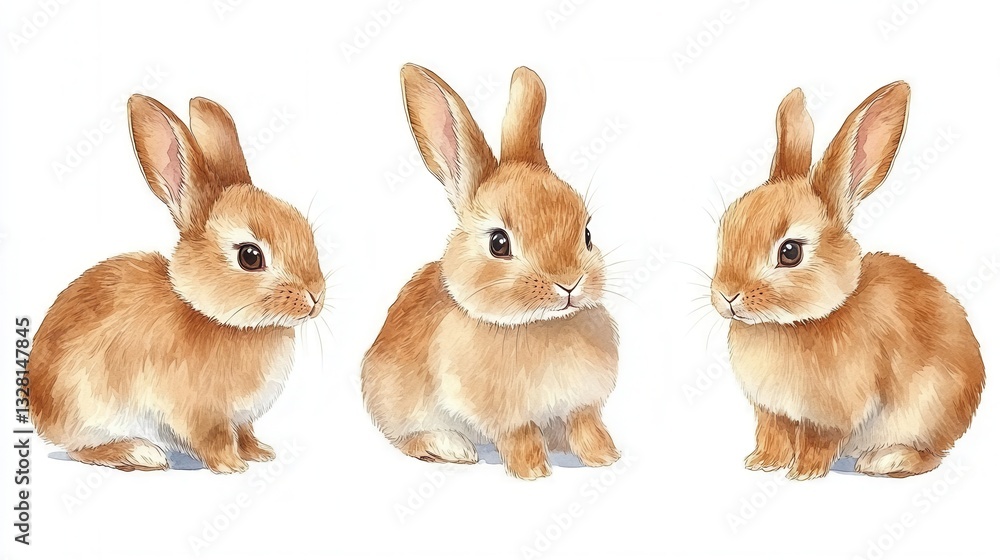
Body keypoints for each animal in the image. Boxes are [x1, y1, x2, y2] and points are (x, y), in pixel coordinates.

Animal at [29, 95, 326, 473]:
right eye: (250, 256)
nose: (315, 297)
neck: (221, 320)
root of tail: (37, 409)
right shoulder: (201, 414)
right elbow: (214, 439)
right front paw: (232, 466)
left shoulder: (241, 418)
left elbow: (245, 433)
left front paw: (260, 453)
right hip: (89, 410)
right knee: (81, 450)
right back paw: (140, 453)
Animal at [362, 64, 620, 480]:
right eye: (499, 243)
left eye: (587, 234)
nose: (568, 283)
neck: (539, 323)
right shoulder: (506, 418)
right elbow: (521, 437)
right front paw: (533, 471)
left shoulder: (583, 405)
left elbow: (588, 428)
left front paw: (606, 457)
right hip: (395, 401)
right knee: (406, 440)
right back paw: (452, 447)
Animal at [710, 82, 985, 479]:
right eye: (725, 228)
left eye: (789, 252)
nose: (726, 295)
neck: (794, 323)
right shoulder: (770, 411)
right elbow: (772, 434)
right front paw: (761, 463)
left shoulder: (832, 415)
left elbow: (818, 441)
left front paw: (804, 472)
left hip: (926, 412)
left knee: (930, 455)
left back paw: (885, 460)